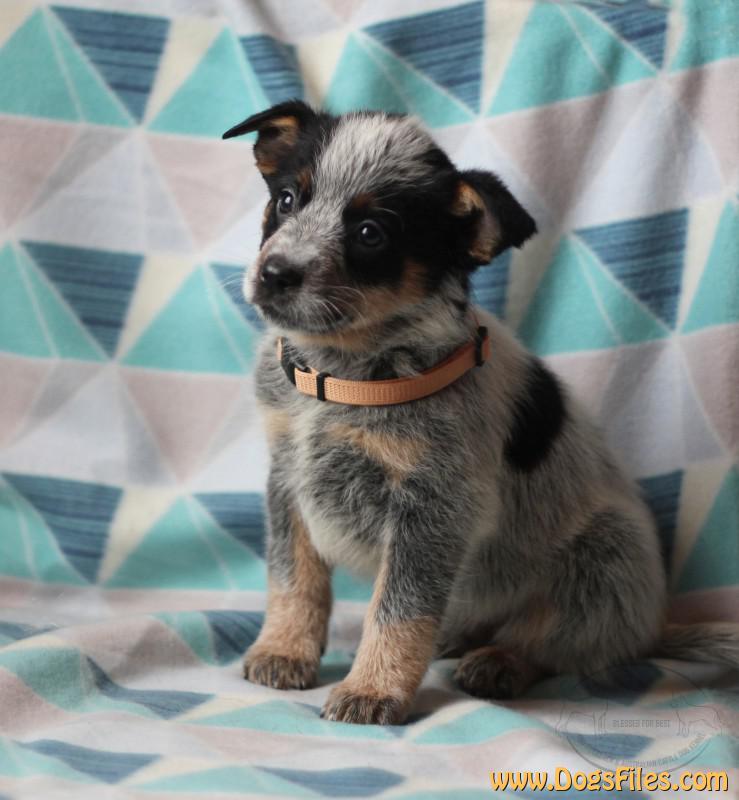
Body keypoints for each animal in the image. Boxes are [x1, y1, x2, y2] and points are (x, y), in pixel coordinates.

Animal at [222, 100, 739, 725]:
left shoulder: (433, 508)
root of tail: (654, 628)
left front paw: (373, 689)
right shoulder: (287, 478)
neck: (344, 377)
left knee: (557, 640)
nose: (274, 274)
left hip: (606, 552)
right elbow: (292, 578)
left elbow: (399, 610)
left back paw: (500, 661)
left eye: (371, 233)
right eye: (287, 199)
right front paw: (284, 650)